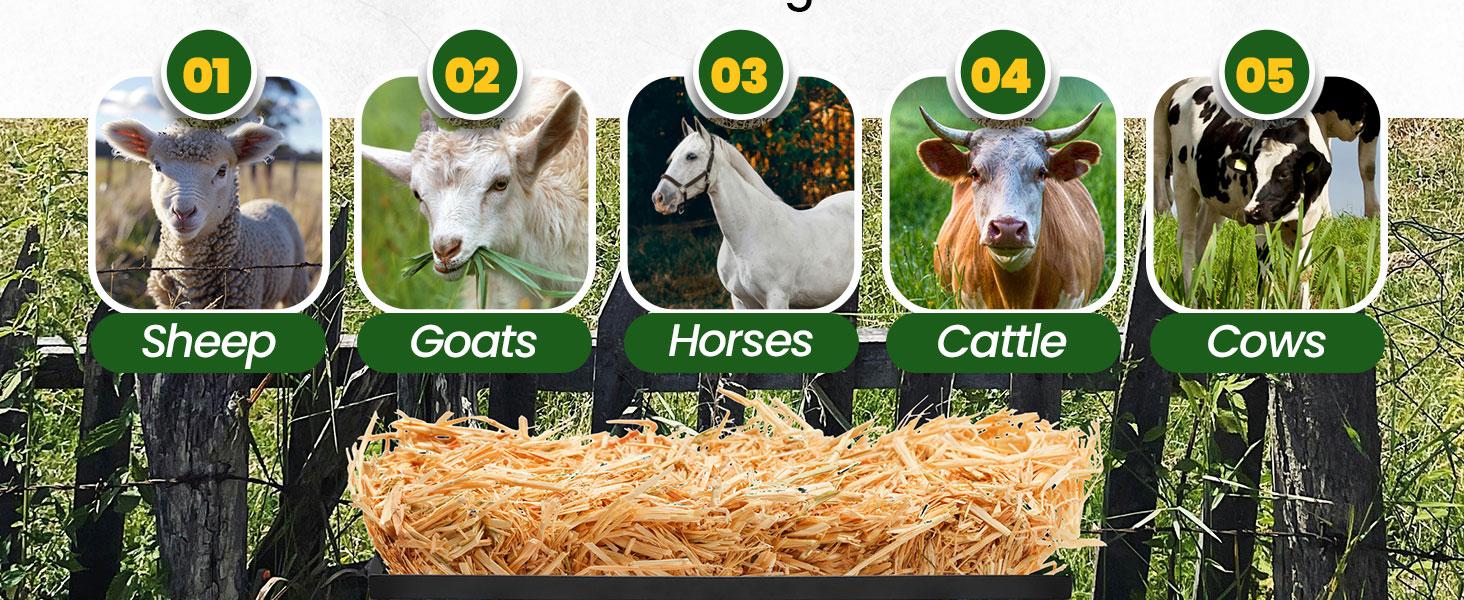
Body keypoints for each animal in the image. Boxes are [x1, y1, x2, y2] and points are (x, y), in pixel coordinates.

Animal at [1152, 77, 1333, 307]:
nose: (1251, 212)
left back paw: (1205, 295)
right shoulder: (1263, 226)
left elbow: (1302, 273)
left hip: (1214, 200)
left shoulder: (1309, 223)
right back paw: (1191, 299)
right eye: (1253, 173)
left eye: (1283, 175)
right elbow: (1266, 276)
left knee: (1203, 240)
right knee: (1187, 239)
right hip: (1183, 181)